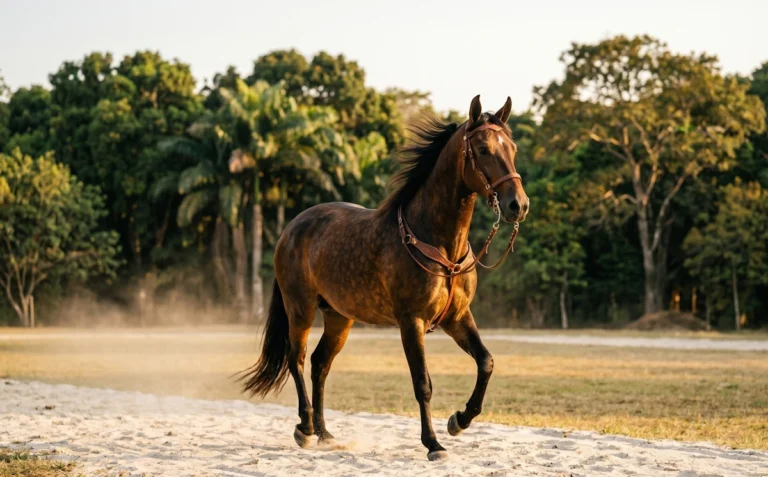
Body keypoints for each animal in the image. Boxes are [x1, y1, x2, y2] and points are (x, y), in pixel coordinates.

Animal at [238, 95, 529, 461]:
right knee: (298, 359)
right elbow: (423, 383)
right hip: (300, 310)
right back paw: (304, 427)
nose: (518, 205)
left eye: (512, 148)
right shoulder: (411, 321)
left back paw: (324, 433)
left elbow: (486, 362)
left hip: (339, 317)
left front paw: (459, 420)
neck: (436, 243)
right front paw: (433, 443)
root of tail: (291, 228)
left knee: (320, 364)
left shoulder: (458, 318)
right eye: (483, 148)